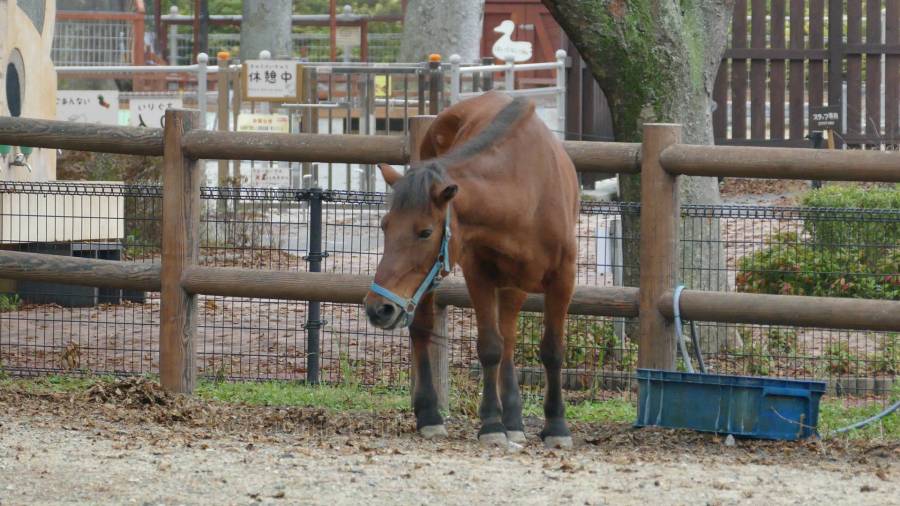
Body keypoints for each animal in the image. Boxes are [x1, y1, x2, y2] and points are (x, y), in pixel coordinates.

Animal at [364, 91, 579, 448]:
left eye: (425, 232)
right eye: (385, 226)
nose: (377, 308)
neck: (525, 191)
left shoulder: (563, 279)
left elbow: (551, 350)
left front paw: (556, 425)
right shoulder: (479, 275)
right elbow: (489, 347)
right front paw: (491, 423)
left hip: (515, 284)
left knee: (509, 338)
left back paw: (514, 419)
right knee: (423, 329)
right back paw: (430, 415)